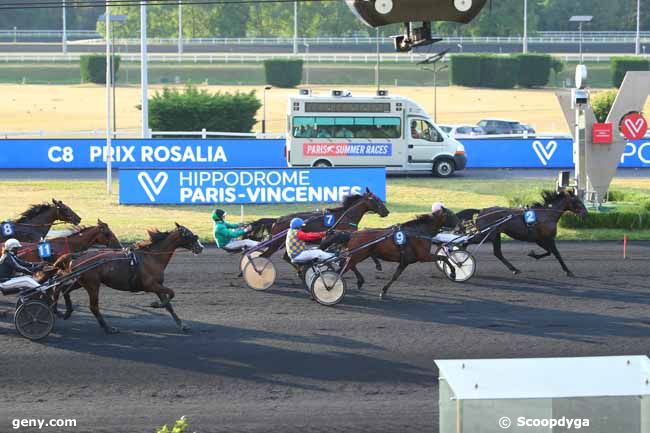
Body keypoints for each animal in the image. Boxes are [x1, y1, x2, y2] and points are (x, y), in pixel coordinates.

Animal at [53, 224, 202, 332]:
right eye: (190, 235)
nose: (201, 247)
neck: (152, 257)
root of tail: (77, 256)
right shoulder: (150, 285)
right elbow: (172, 293)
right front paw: (154, 304)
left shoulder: (157, 286)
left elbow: (169, 305)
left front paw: (182, 325)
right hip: (93, 285)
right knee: (93, 306)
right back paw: (108, 328)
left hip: (81, 281)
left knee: (64, 289)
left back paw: (66, 312)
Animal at [322, 208, 456, 296]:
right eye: (452, 215)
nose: (459, 225)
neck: (418, 232)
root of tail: (352, 234)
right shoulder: (424, 256)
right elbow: (444, 258)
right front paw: (453, 272)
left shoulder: (405, 262)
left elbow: (395, 276)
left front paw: (384, 291)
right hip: (358, 254)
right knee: (343, 268)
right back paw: (331, 286)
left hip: (358, 254)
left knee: (346, 265)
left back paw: (358, 281)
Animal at [456, 187, 588, 276]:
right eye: (578, 201)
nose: (585, 213)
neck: (547, 214)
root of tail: (481, 211)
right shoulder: (547, 238)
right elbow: (556, 253)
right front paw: (568, 271)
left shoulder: (539, 239)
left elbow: (550, 252)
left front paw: (533, 254)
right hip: (486, 234)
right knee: (465, 242)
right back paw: (460, 260)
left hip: (495, 235)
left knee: (498, 253)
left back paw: (514, 269)